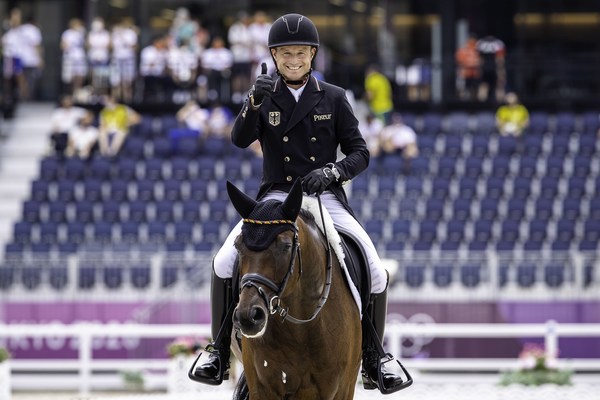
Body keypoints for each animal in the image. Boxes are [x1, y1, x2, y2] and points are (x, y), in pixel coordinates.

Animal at [227, 179, 364, 400]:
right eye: (238, 246)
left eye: (286, 246)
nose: (248, 317)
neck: (303, 327)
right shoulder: (262, 388)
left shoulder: (342, 389)